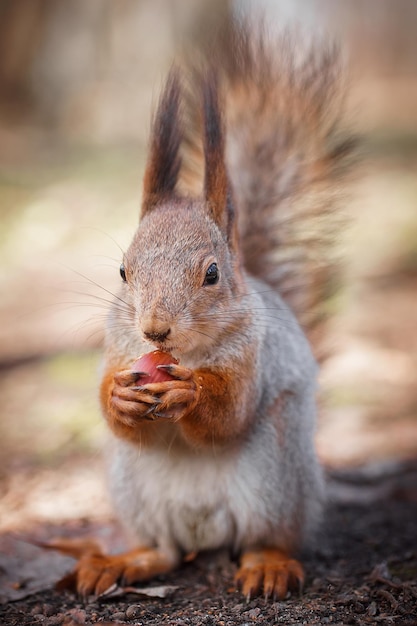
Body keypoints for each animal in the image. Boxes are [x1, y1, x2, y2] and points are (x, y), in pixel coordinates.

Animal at [70, 19, 352, 596]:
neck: (188, 353)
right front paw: (118, 396)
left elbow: (230, 410)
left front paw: (191, 392)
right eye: (123, 272)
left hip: (275, 472)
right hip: (132, 485)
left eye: (213, 274)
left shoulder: (254, 354)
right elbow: (112, 407)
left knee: (266, 536)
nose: (154, 331)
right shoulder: (118, 344)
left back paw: (268, 565)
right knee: (165, 550)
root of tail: (206, 531)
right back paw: (123, 561)